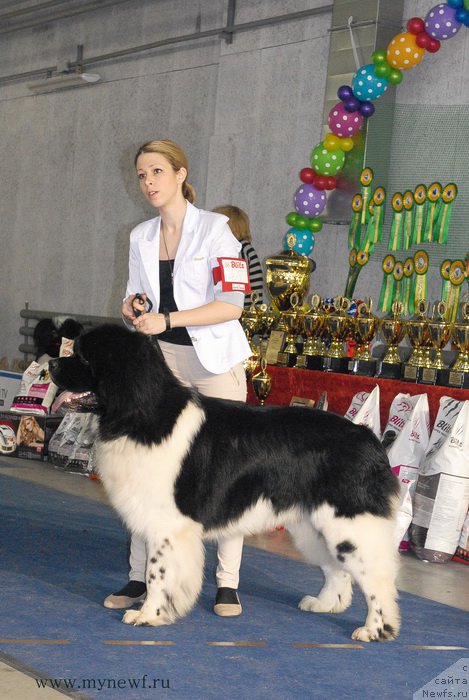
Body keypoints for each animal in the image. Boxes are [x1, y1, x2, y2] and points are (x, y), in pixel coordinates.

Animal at [51, 326, 400, 644]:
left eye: (84, 356)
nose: (53, 363)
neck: (144, 416)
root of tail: (368, 437)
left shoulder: (168, 526)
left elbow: (157, 572)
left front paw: (149, 615)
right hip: (311, 527)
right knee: (337, 570)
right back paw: (324, 604)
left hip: (350, 525)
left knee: (378, 578)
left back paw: (375, 629)